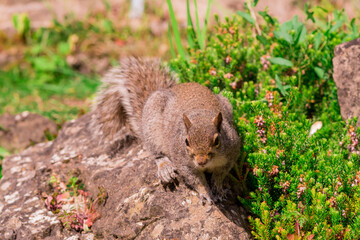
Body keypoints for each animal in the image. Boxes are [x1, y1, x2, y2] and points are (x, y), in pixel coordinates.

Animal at [93, 57, 240, 202]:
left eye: (217, 140)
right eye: (186, 141)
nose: (201, 161)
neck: (200, 116)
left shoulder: (231, 154)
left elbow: (220, 174)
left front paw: (218, 188)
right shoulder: (183, 161)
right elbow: (195, 179)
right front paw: (206, 193)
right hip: (152, 132)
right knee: (157, 154)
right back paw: (165, 169)